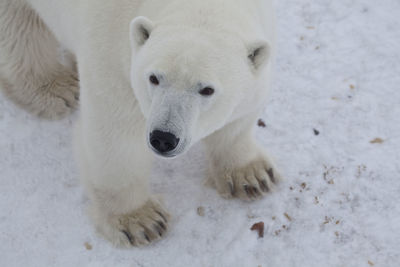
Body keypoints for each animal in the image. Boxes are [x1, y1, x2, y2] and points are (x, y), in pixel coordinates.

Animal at [0, 0, 280, 247]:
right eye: (154, 78)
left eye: (207, 89)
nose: (164, 138)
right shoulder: (112, 50)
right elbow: (116, 136)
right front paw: (140, 221)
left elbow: (241, 115)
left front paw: (251, 176)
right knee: (18, 25)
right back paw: (56, 89)